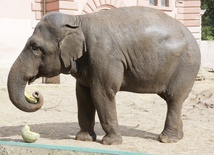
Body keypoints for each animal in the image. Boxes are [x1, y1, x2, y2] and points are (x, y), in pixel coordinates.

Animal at [6, 5, 201, 144]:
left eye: (35, 47)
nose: (35, 94)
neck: (78, 21)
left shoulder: (104, 56)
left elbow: (102, 93)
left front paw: (111, 143)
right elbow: (83, 95)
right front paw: (83, 139)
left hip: (185, 67)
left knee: (174, 99)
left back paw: (166, 139)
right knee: (175, 101)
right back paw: (178, 137)